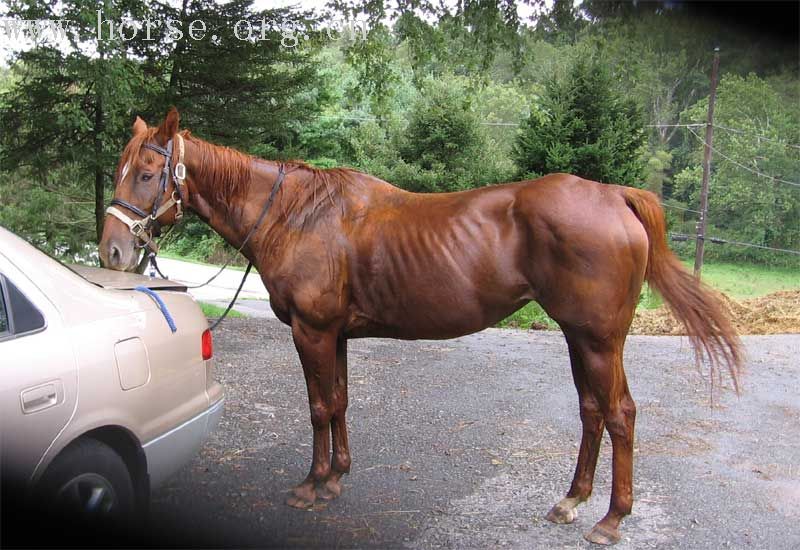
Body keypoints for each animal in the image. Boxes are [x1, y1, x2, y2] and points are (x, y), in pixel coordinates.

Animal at [101, 110, 744, 544]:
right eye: (121, 169)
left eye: (149, 173)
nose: (112, 251)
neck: (295, 214)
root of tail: (613, 197)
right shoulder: (335, 336)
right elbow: (340, 402)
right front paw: (337, 477)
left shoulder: (312, 332)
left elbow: (318, 406)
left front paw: (312, 484)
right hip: (578, 337)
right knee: (592, 412)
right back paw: (572, 501)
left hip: (599, 340)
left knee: (620, 415)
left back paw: (611, 519)